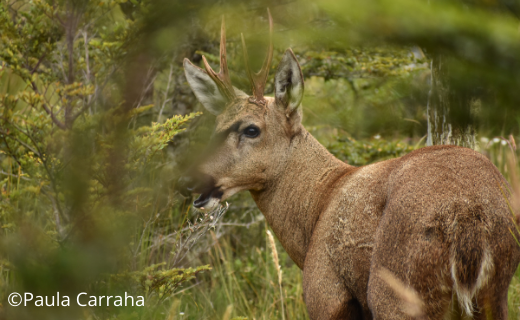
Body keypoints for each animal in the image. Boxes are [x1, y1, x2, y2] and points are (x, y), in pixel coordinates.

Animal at [178, 10, 520, 320]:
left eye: (251, 129)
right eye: (216, 126)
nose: (187, 180)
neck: (316, 208)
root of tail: (467, 217)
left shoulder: (326, 293)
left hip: (397, 290)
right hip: (493, 293)